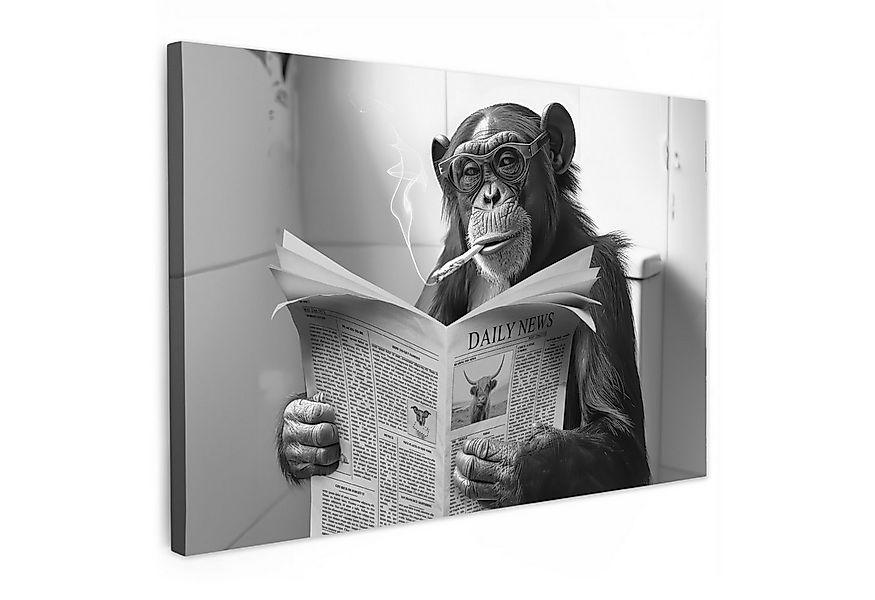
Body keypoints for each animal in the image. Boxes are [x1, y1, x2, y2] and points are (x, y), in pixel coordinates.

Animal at [277, 102, 649, 508]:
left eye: (507, 160)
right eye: (469, 172)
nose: (490, 196)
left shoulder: (601, 275)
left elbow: (620, 440)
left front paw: (510, 465)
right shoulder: (447, 261)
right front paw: (303, 431)